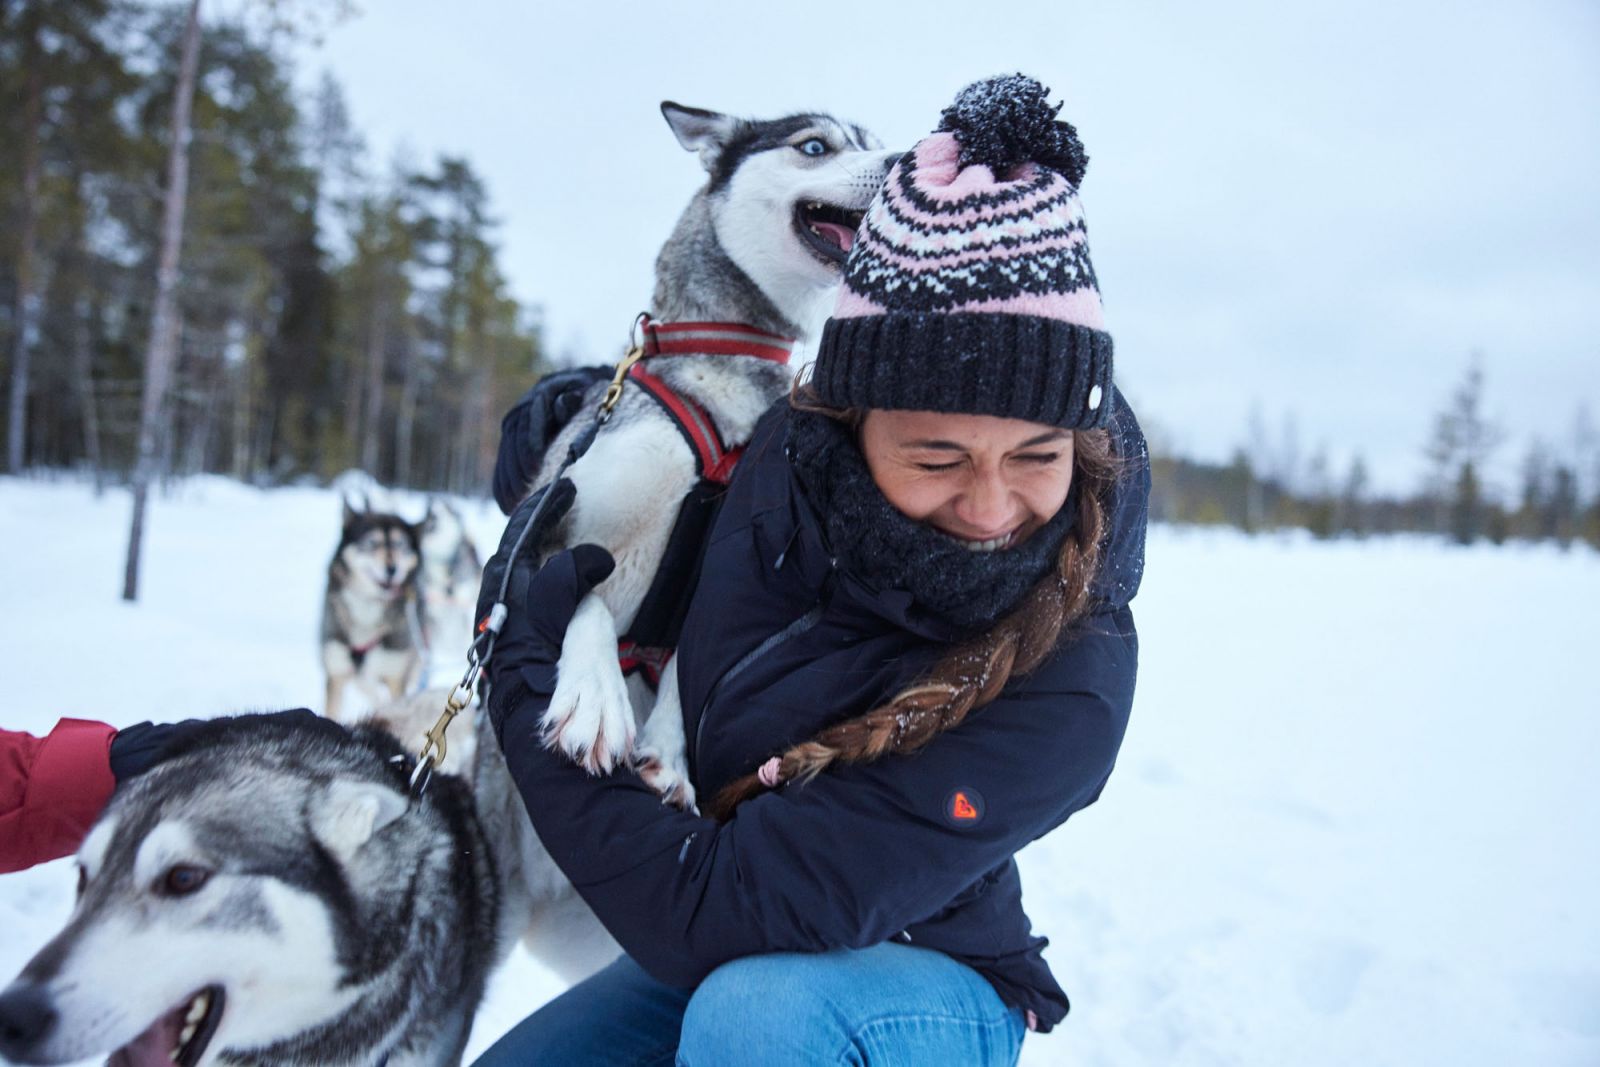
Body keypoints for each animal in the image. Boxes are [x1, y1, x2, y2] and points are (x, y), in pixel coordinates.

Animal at [470, 99, 902, 985]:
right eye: (816, 145)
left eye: (879, 142)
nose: (910, 160)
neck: (720, 378)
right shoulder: (548, 529)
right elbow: (586, 598)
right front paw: (595, 697)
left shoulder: (715, 585)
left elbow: (680, 671)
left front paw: (666, 754)